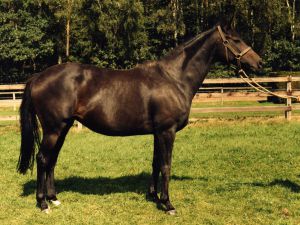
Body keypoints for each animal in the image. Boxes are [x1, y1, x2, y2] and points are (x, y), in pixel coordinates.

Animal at [17, 23, 262, 214]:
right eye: (235, 40)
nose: (258, 62)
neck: (174, 79)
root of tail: (38, 77)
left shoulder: (157, 132)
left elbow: (155, 163)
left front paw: (154, 196)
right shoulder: (167, 131)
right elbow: (165, 165)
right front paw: (168, 204)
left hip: (63, 127)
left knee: (51, 160)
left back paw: (54, 199)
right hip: (54, 129)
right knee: (42, 159)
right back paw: (43, 204)